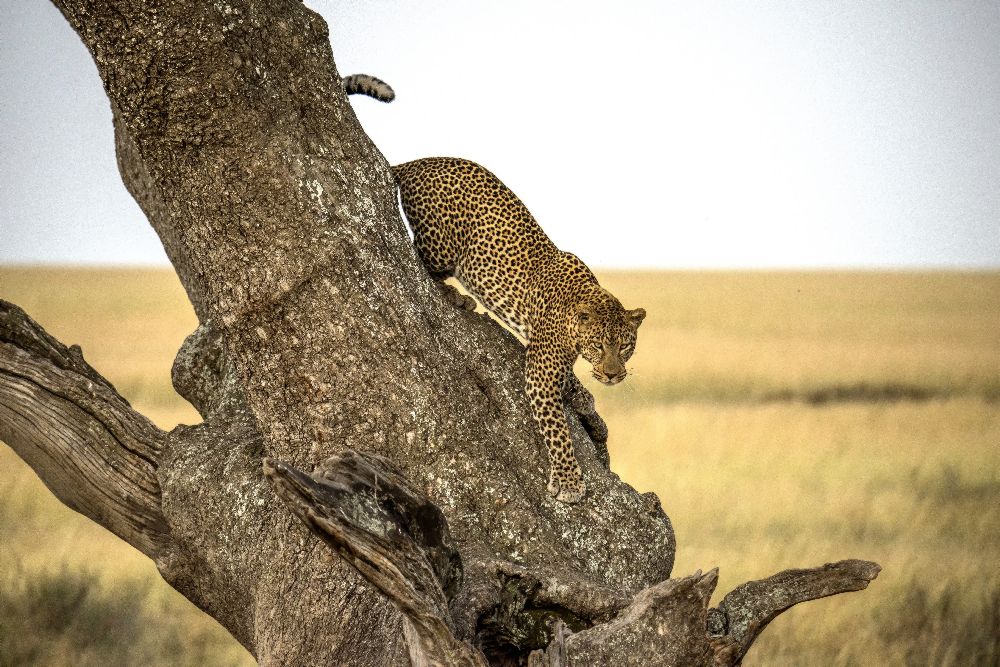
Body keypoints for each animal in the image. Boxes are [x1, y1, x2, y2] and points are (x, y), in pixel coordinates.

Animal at [394, 157, 644, 500]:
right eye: (599, 346)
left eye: (625, 347)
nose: (612, 375)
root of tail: (416, 162)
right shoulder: (541, 371)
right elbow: (557, 430)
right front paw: (569, 481)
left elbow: (571, 382)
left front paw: (584, 401)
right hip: (441, 245)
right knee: (421, 260)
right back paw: (457, 297)